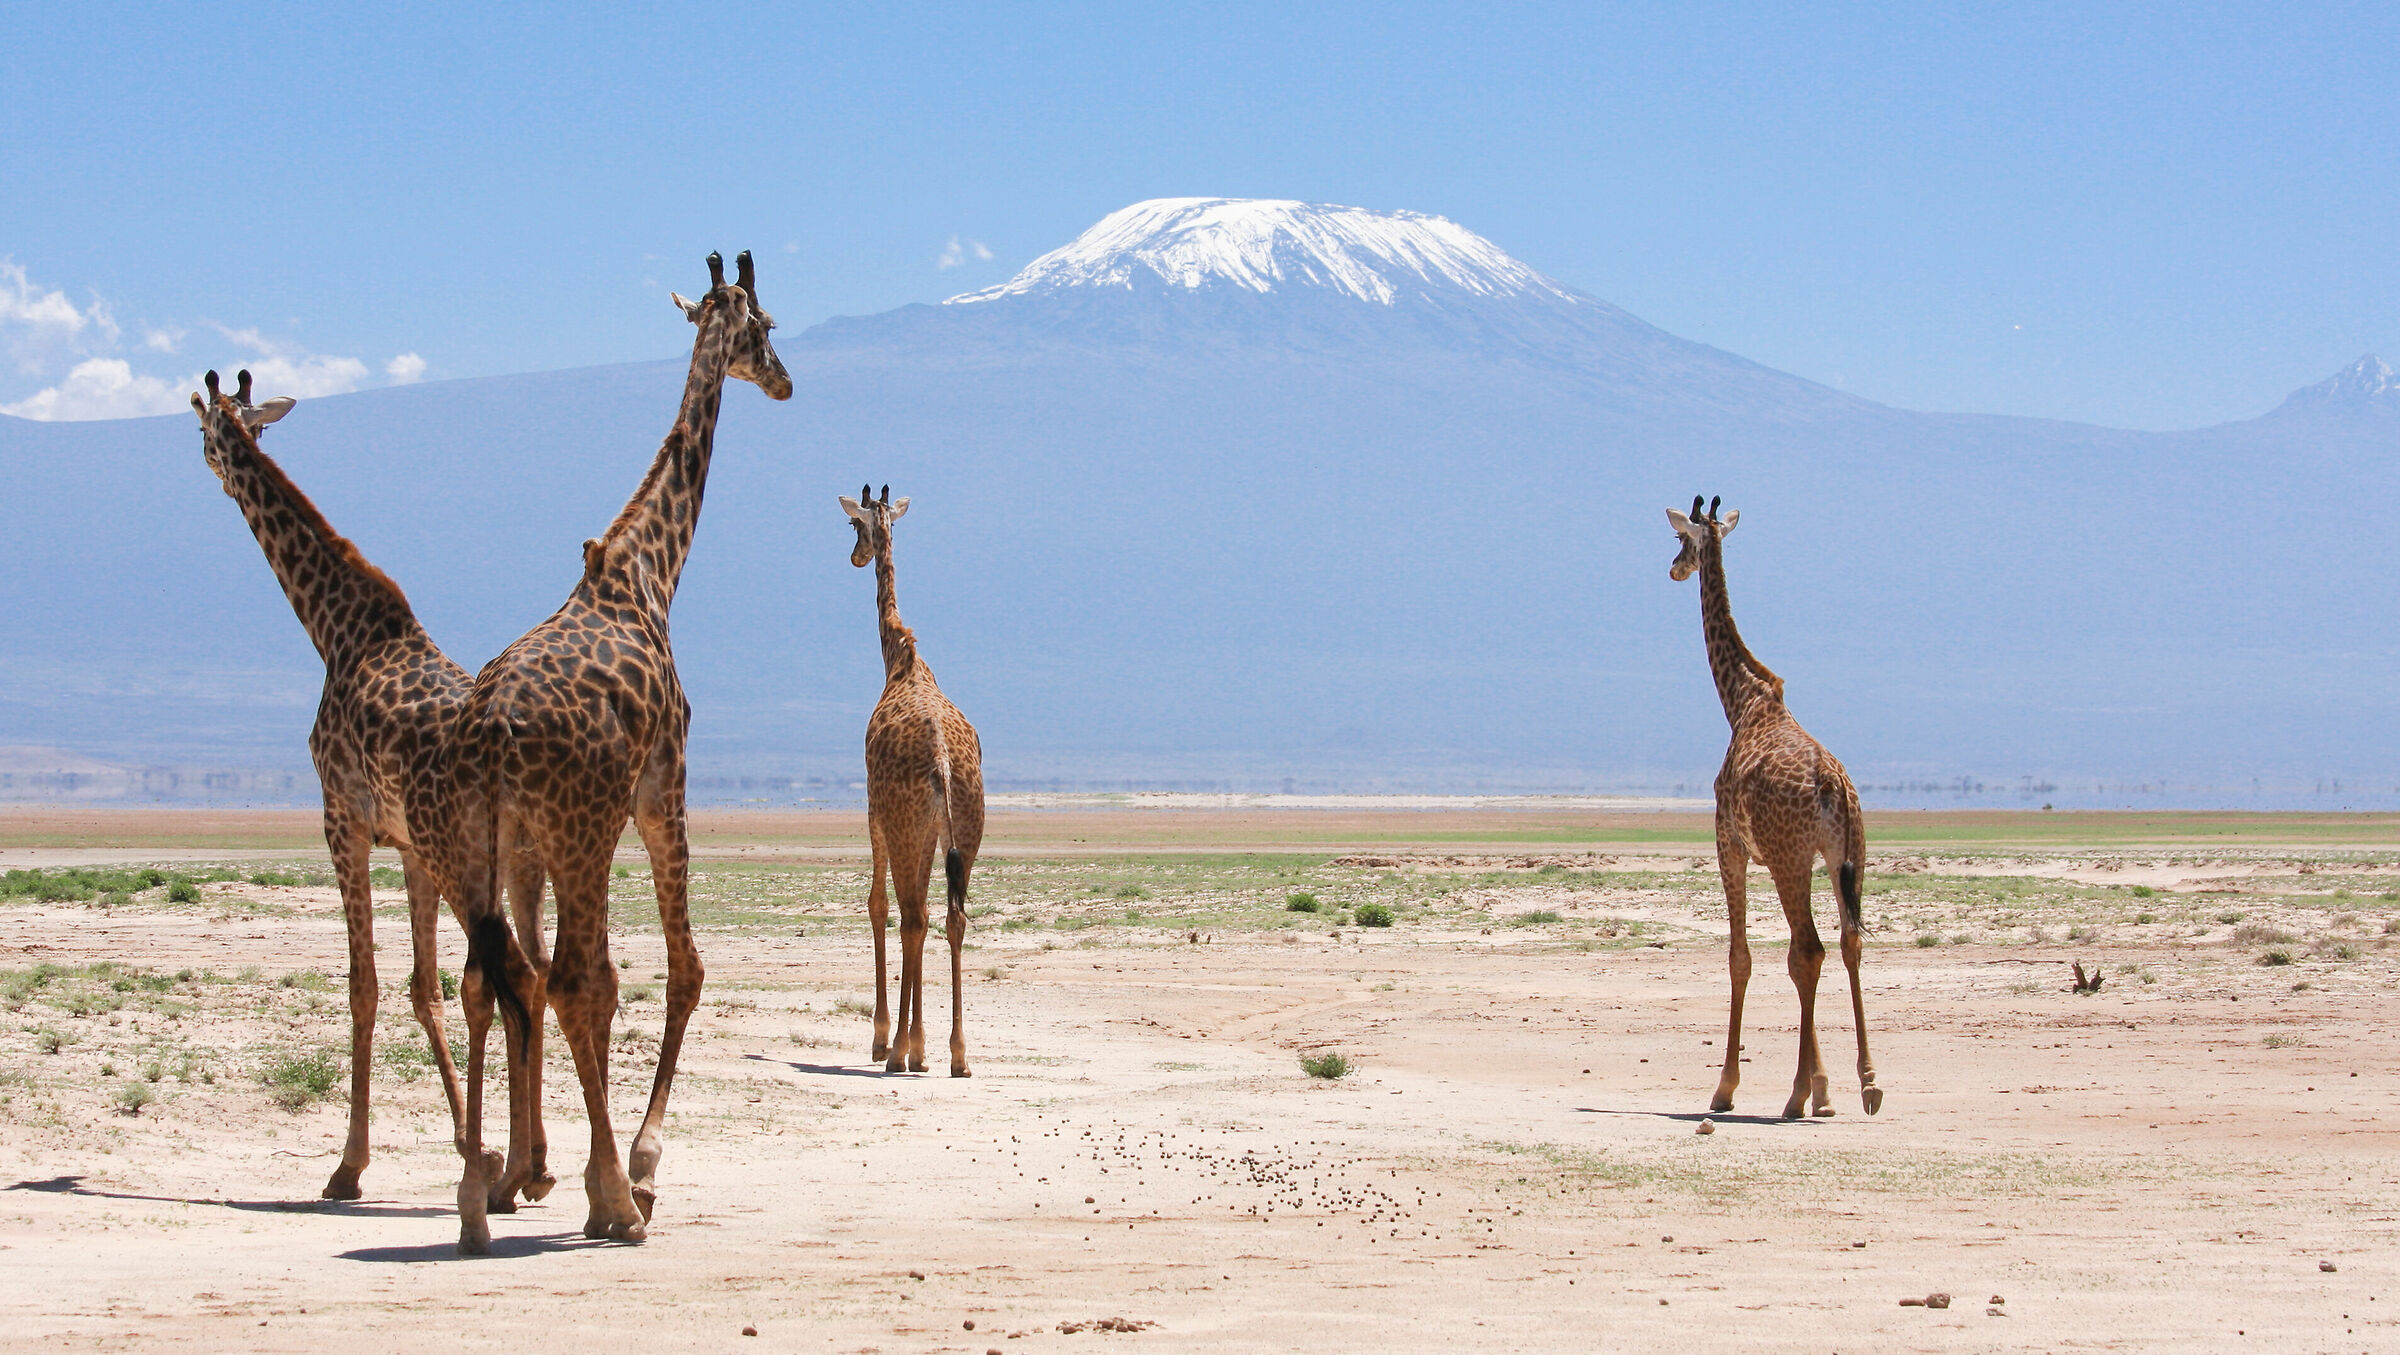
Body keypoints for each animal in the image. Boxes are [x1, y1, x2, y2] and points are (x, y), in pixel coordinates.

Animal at [189, 370, 552, 1204]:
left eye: (207, 432)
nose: (212, 469)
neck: (337, 630)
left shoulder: (341, 820)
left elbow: (366, 985)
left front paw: (349, 1166)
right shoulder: (411, 848)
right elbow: (424, 987)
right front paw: (471, 1144)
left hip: (467, 859)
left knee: (514, 974)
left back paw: (528, 1170)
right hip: (513, 861)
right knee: (537, 972)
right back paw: (536, 1167)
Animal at [413, 251, 789, 1254]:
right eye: (766, 324)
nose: (784, 379)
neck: (651, 570)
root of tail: (490, 731)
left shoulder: (531, 844)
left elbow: (549, 978)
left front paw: (544, 1174)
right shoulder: (661, 788)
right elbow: (676, 969)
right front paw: (635, 1173)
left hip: (474, 840)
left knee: (491, 974)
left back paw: (476, 1197)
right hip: (584, 828)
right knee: (578, 976)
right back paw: (618, 1198)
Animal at [1667, 495, 1882, 1120]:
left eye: (1683, 540)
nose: (1673, 569)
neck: (1742, 702)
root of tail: (1833, 785)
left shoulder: (1730, 846)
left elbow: (1741, 958)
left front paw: (1729, 1088)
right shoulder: (1804, 858)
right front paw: (1825, 1090)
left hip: (1790, 859)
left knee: (1808, 950)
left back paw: (1793, 1096)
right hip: (1847, 855)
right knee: (1848, 943)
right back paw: (1867, 1084)